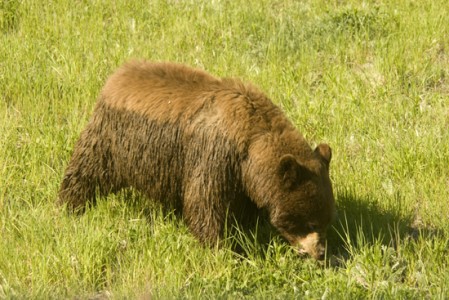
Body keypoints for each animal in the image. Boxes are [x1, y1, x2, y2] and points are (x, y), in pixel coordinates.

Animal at [57, 59, 334, 258]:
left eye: (326, 219)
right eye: (308, 221)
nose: (320, 253)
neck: (249, 147)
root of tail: (117, 74)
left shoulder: (240, 177)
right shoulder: (214, 155)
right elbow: (204, 203)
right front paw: (222, 249)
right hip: (110, 139)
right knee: (86, 171)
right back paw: (69, 206)